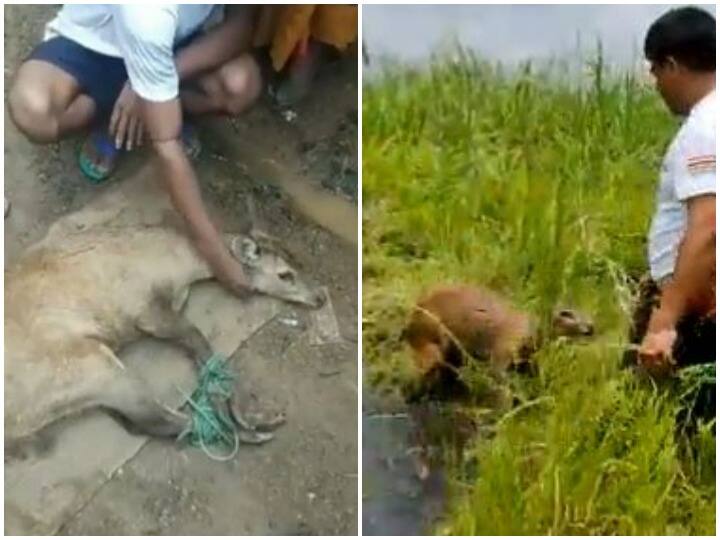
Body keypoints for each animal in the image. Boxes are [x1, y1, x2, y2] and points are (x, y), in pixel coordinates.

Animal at [5, 219, 324, 456]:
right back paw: (251, 428)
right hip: (86, 364)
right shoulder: (145, 309)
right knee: (157, 419)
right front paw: (242, 410)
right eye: (285, 275)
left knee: (139, 421)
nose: (320, 297)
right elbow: (201, 340)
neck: (180, 263)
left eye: (299, 262)